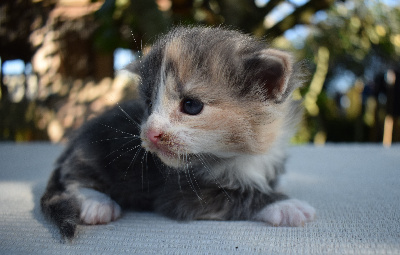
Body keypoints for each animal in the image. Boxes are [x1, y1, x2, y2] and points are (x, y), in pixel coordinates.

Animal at [40, 26, 316, 240]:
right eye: (149, 103)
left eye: (191, 105)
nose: (151, 133)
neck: (244, 154)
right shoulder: (181, 195)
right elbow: (240, 196)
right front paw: (284, 204)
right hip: (90, 154)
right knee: (73, 180)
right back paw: (98, 203)